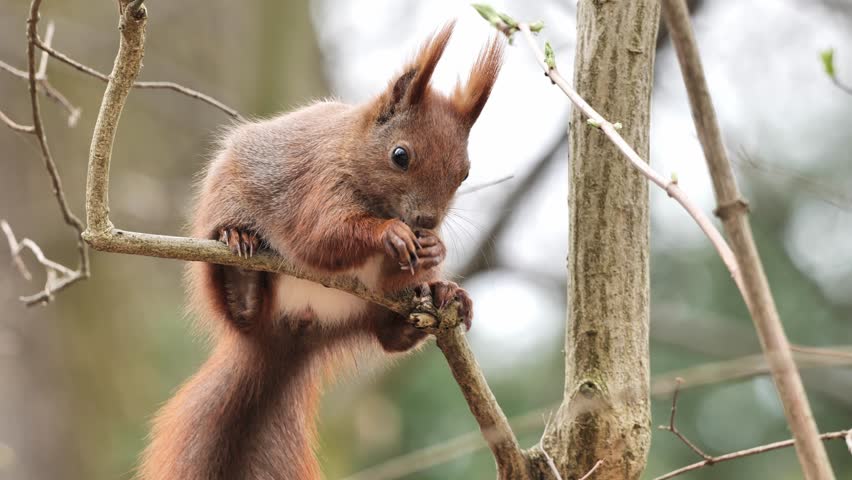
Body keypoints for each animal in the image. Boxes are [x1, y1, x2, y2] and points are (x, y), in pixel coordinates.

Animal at [138, 22, 503, 480]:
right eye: (400, 155)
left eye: (465, 172)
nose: (426, 220)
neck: (351, 150)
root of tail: (293, 334)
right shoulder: (319, 181)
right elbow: (321, 237)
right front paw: (389, 233)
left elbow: (393, 273)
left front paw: (435, 250)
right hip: (218, 245)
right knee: (240, 308)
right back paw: (243, 268)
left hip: (364, 314)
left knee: (390, 335)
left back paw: (441, 294)